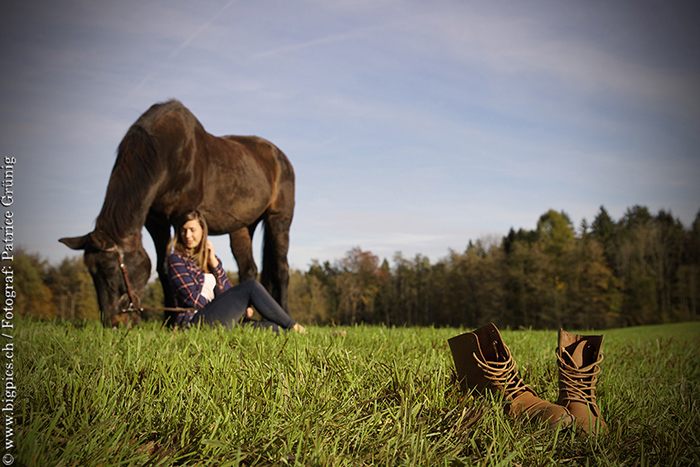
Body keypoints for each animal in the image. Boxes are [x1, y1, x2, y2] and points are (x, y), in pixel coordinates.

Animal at [56, 101, 292, 330]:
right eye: (92, 273)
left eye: (112, 269)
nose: (114, 323)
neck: (166, 154)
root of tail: (279, 156)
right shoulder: (155, 222)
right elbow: (163, 268)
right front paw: (168, 321)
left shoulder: (181, 215)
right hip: (242, 226)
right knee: (249, 270)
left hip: (279, 219)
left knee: (281, 269)